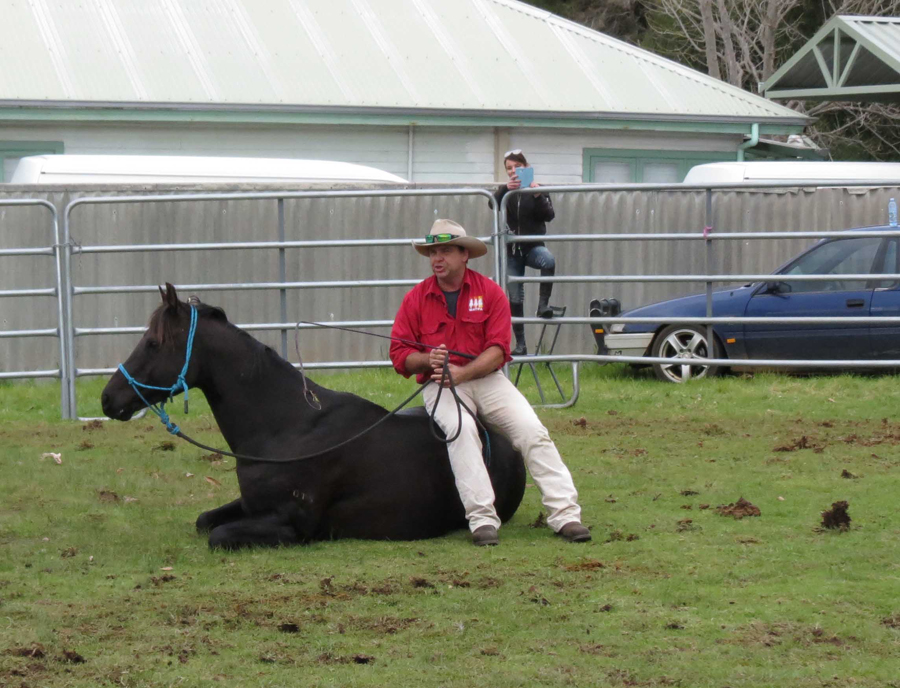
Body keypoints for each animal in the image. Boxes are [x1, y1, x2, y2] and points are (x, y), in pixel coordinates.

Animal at [99, 284, 528, 548]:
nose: (108, 398)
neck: (288, 429)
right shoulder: (252, 505)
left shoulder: (291, 525)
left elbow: (217, 535)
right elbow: (205, 520)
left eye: (153, 343)